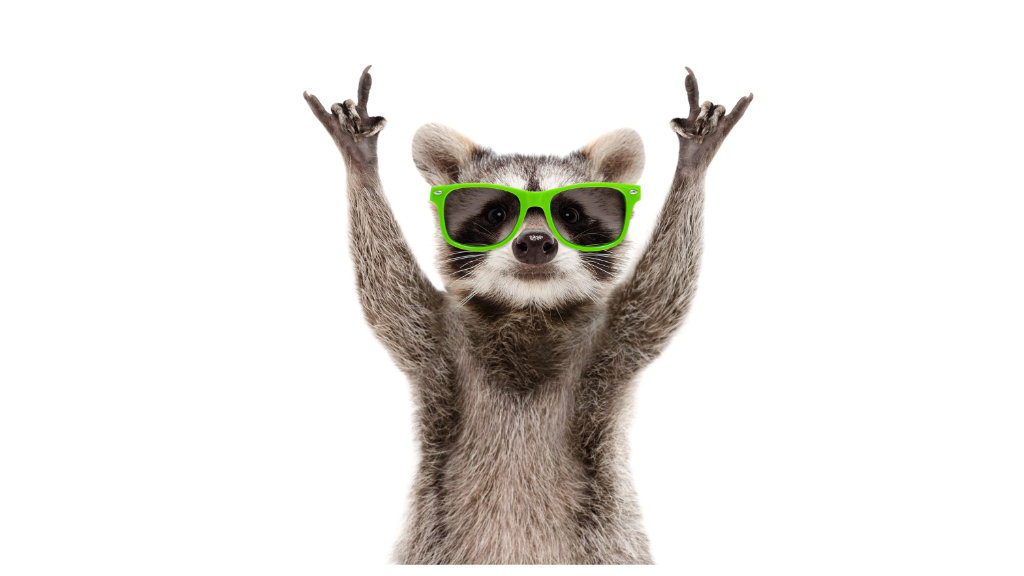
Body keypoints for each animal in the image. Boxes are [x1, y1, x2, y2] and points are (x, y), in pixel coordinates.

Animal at [303, 66, 751, 564]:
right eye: (497, 212)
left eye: (570, 214)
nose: (535, 243)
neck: (528, 308)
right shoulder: (436, 340)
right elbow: (387, 293)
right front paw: (361, 165)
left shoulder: (612, 340)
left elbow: (662, 293)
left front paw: (692, 166)